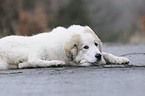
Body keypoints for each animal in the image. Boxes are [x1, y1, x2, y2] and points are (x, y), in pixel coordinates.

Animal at [0, 25, 130, 69]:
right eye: (85, 47)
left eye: (96, 44)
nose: (98, 56)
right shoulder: (69, 59)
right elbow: (81, 61)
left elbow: (106, 54)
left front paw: (120, 59)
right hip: (38, 45)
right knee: (33, 60)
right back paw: (56, 63)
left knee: (26, 63)